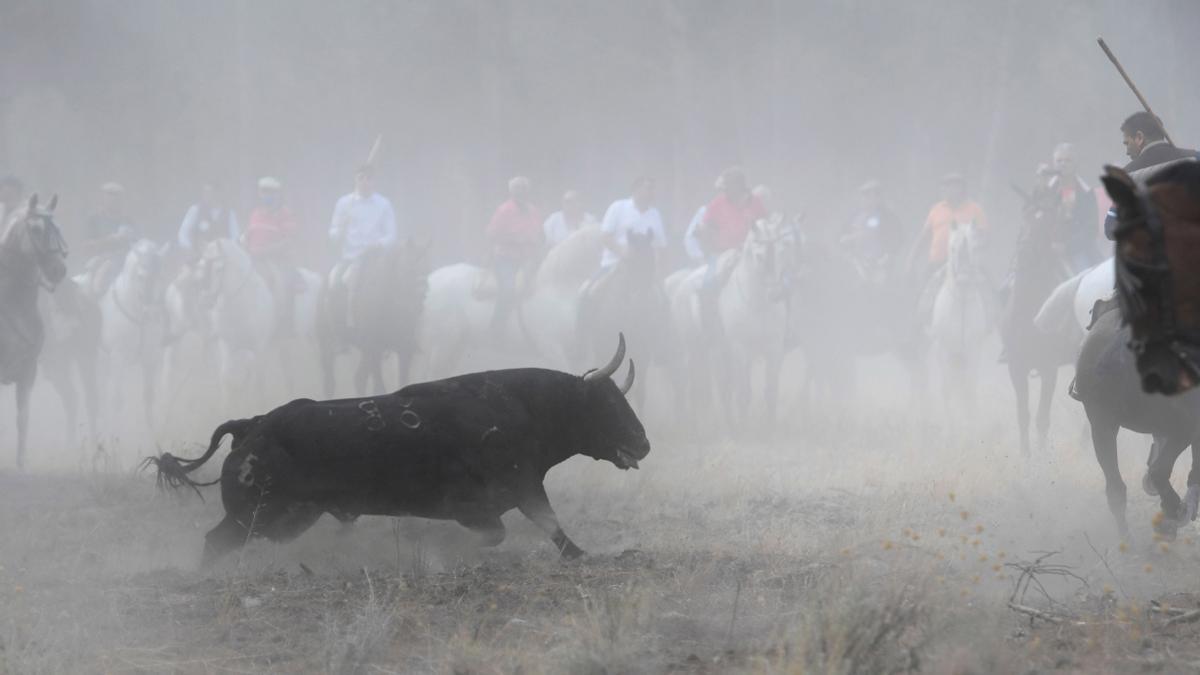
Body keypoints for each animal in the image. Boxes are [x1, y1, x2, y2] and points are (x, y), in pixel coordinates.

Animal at [150, 336, 648, 562]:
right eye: (608, 403)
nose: (643, 444)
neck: (520, 408)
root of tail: (252, 425)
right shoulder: (496, 497)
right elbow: (525, 528)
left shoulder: (519, 492)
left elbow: (546, 527)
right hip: (255, 515)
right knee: (215, 543)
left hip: (288, 518)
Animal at [926, 222, 993, 415]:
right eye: (952, 248)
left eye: (975, 248)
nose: (963, 279)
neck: (961, 303)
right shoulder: (943, 350)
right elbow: (947, 389)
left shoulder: (973, 351)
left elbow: (969, 389)